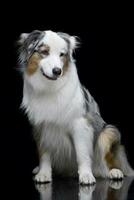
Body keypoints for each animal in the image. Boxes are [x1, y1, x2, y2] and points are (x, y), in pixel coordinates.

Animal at [17, 29, 133, 184]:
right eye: (44, 52)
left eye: (62, 54)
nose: (57, 71)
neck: (50, 88)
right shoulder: (41, 126)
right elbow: (44, 153)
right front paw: (44, 173)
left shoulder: (80, 124)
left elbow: (82, 153)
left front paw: (86, 175)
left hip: (109, 132)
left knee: (108, 159)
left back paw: (114, 171)